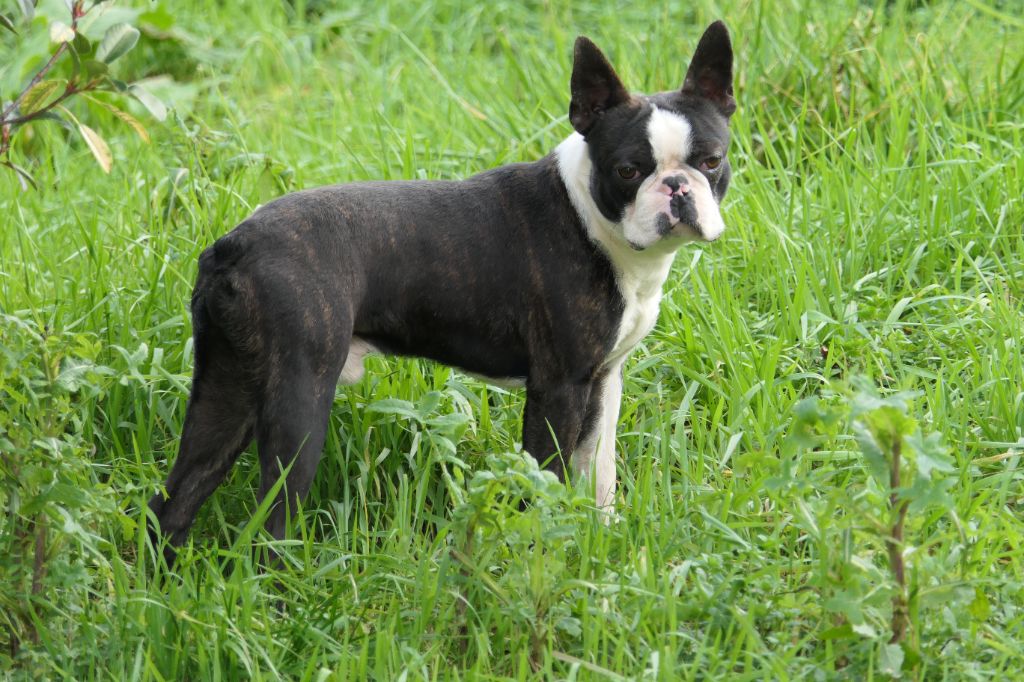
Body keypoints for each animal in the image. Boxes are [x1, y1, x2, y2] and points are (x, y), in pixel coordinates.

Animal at [148, 22, 736, 562]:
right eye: (628, 171)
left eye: (711, 161)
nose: (678, 188)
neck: (594, 222)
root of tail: (232, 245)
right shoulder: (559, 387)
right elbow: (543, 476)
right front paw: (536, 553)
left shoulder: (603, 380)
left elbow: (599, 471)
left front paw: (603, 540)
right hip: (300, 399)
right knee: (272, 524)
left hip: (227, 388)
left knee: (174, 501)